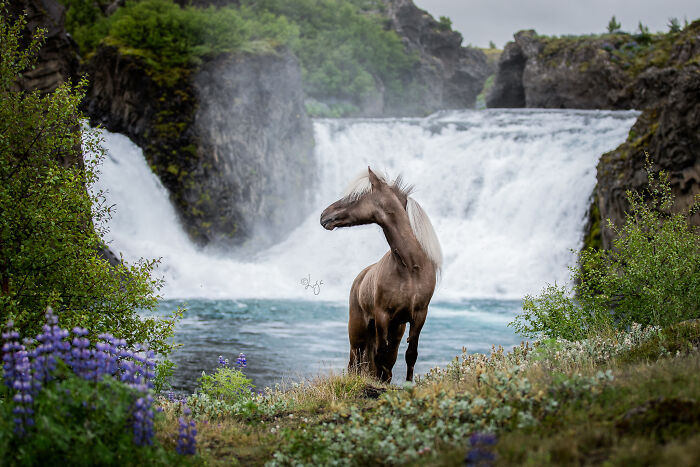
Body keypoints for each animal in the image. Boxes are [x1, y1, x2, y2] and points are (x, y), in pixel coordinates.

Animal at [320, 167, 442, 382]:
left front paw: (408, 384)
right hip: (358, 330)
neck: (411, 268)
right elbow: (380, 357)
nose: (323, 215)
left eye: (355, 197)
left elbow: (410, 354)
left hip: (395, 330)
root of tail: (360, 277)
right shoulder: (382, 315)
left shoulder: (419, 315)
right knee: (356, 361)